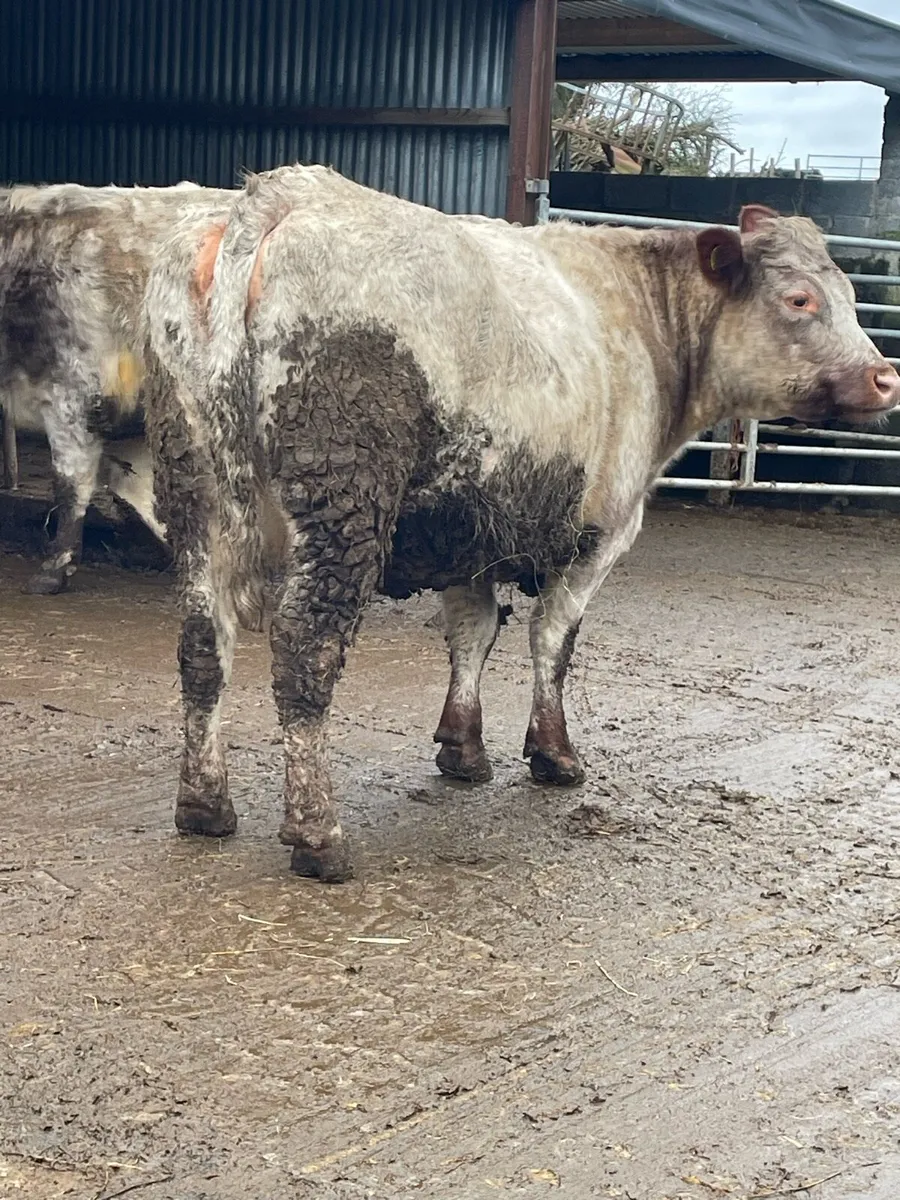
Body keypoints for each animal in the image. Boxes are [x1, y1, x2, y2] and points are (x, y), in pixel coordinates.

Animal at [143, 164, 900, 883]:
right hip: (343, 505)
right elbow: (552, 643)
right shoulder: (601, 533)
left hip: (194, 497)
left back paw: (204, 803)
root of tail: (280, 194)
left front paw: (462, 746)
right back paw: (317, 833)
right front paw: (554, 753)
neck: (643, 317)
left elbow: (472, 634)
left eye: (849, 295)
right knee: (305, 652)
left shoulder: (464, 529)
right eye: (799, 299)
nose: (885, 376)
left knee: (203, 644)